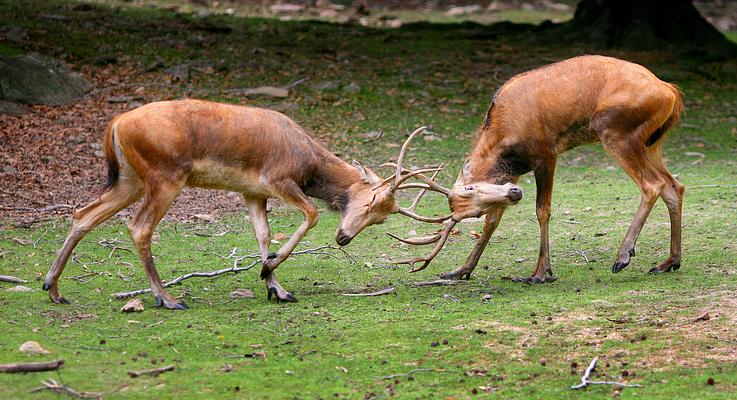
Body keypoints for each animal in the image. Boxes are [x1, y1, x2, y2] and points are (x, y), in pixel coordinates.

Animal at [44, 99, 442, 306]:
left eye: (382, 218)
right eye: (372, 201)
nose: (343, 238)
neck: (308, 163)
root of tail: (115, 125)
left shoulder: (252, 192)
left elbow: (263, 235)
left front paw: (276, 288)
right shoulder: (278, 180)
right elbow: (311, 214)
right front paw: (268, 271)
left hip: (129, 179)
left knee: (83, 213)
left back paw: (54, 289)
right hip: (164, 177)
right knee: (138, 226)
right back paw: (166, 297)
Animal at [392, 54, 684, 282]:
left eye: (471, 187)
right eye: (474, 211)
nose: (515, 193)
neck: (504, 136)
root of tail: (670, 91)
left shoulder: (545, 153)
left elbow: (542, 210)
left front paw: (541, 272)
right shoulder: (515, 174)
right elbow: (493, 222)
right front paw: (461, 269)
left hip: (615, 131)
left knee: (653, 185)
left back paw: (623, 256)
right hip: (651, 142)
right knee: (674, 185)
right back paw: (669, 262)